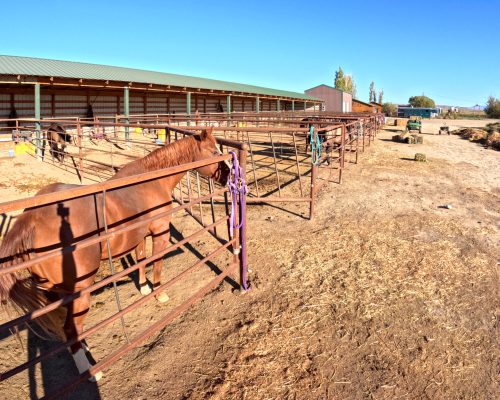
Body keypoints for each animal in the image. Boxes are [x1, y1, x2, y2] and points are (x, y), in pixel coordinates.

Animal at [0, 128, 229, 382]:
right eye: (214, 152)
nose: (228, 175)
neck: (151, 180)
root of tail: (32, 218)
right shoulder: (161, 232)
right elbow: (157, 263)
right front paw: (159, 293)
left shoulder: (139, 236)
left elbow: (141, 262)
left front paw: (145, 288)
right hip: (79, 291)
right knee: (70, 329)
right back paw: (91, 372)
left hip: (55, 291)